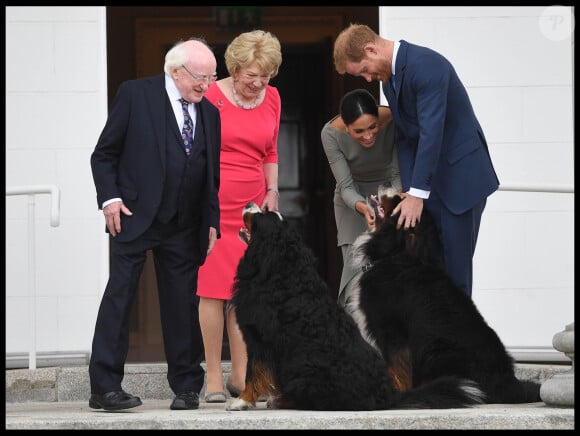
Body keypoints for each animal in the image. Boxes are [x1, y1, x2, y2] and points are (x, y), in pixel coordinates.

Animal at [227, 203, 484, 410]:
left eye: (263, 213)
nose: (249, 203)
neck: (278, 270)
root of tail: (390, 396)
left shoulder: (259, 338)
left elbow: (254, 371)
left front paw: (241, 401)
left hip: (303, 368)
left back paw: (283, 400)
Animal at [348, 186, 544, 404]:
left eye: (399, 200)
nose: (388, 185)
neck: (397, 253)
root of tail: (510, 384)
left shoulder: (391, 331)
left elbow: (397, 369)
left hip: (437, 351)